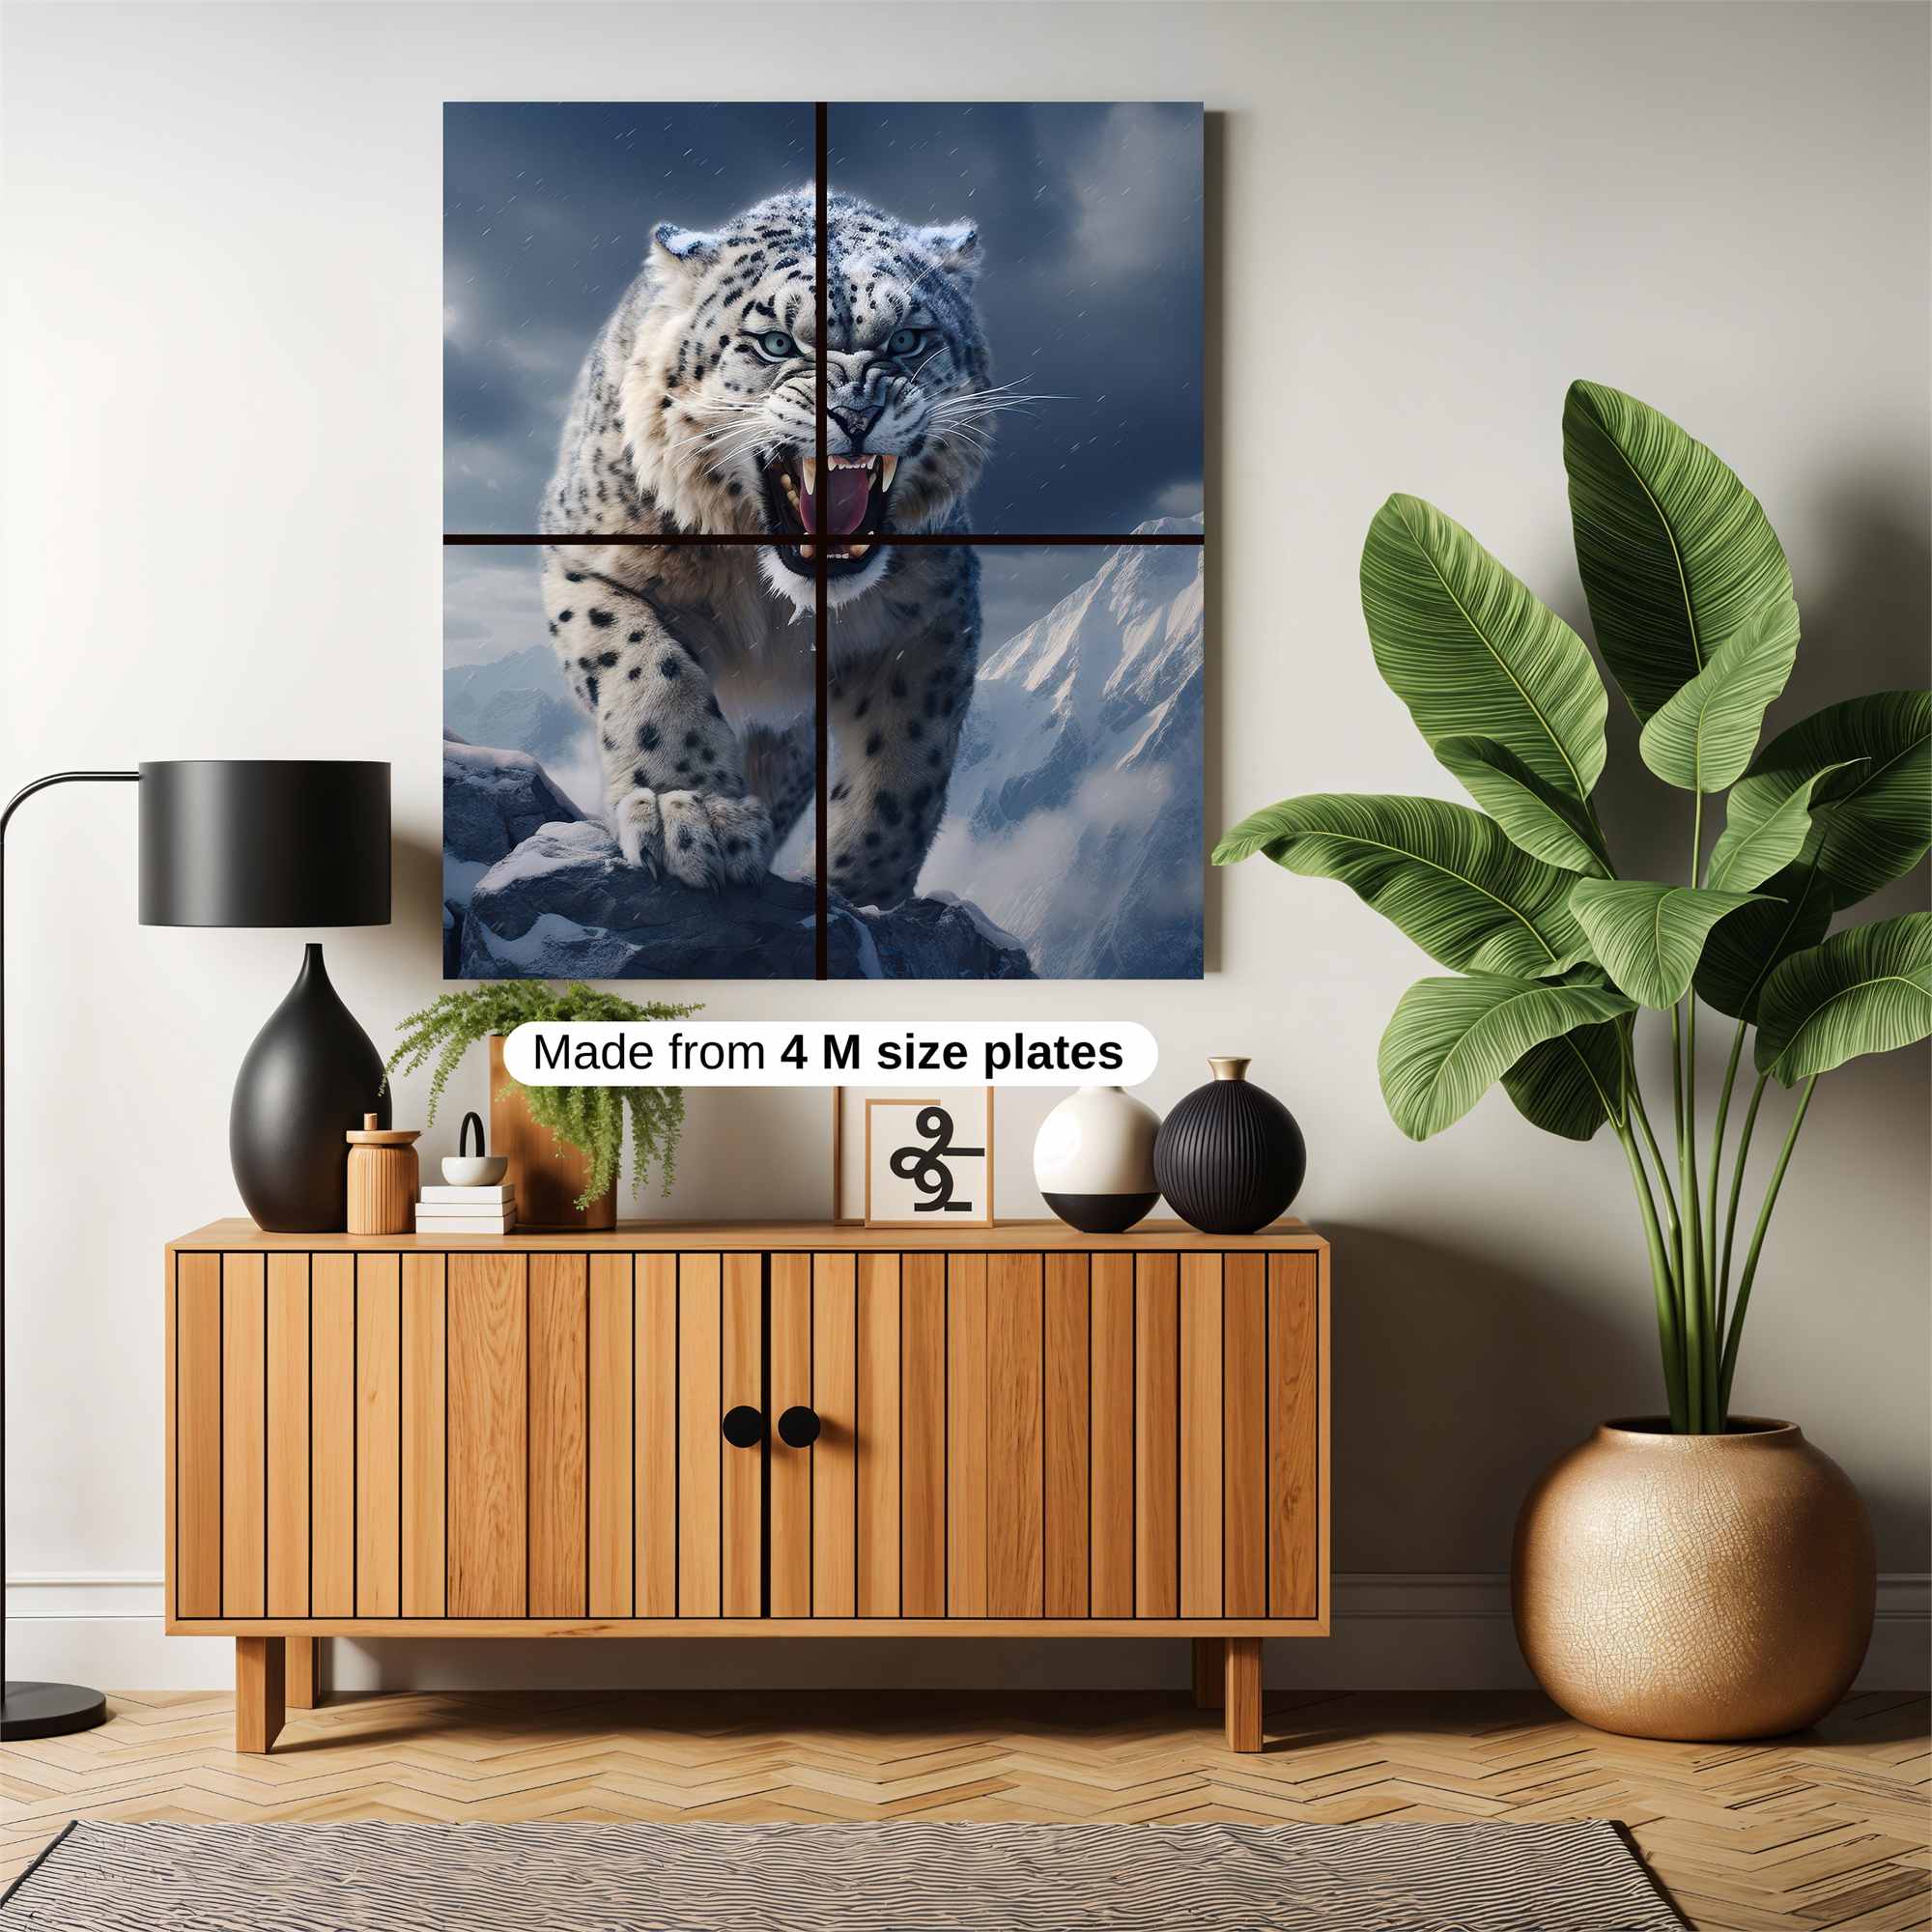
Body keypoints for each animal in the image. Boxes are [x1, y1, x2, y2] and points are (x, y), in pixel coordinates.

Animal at [538, 187, 994, 907]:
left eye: (907, 338)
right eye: (776, 342)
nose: (855, 413)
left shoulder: (935, 614)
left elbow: (905, 763)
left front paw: (862, 886)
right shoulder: (585, 563)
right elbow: (645, 664)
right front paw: (689, 810)